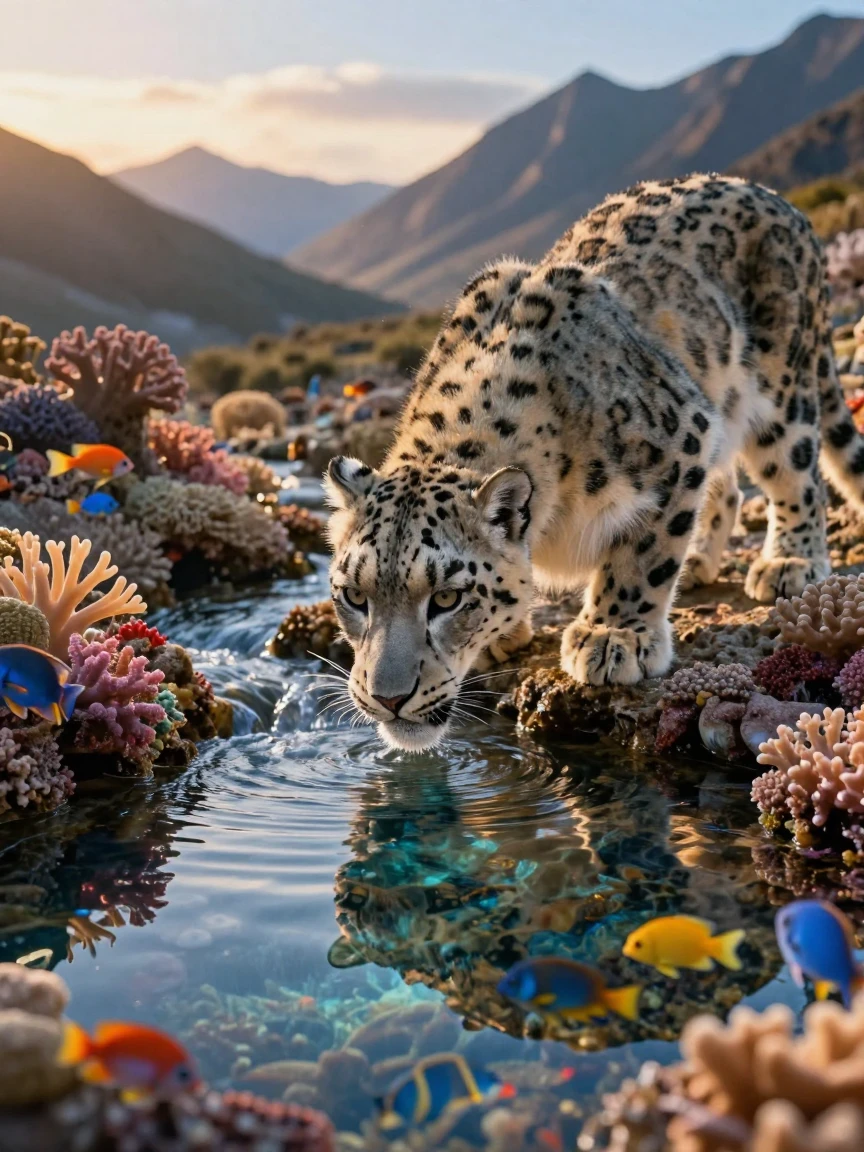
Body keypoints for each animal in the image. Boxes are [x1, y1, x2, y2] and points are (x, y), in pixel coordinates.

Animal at [325, 173, 864, 752]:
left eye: (447, 598)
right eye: (354, 595)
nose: (387, 697)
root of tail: (774, 197)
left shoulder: (681, 440)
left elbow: (642, 555)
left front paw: (613, 636)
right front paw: (507, 636)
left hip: (780, 389)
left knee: (797, 473)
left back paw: (788, 562)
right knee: (728, 487)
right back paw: (700, 560)